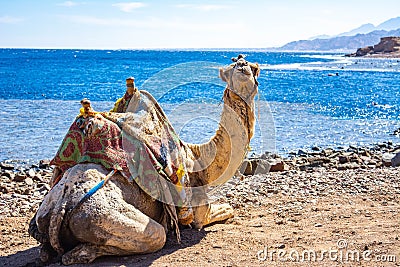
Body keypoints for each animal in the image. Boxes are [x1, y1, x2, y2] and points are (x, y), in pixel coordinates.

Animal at [28, 56, 260, 266]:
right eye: (249, 69)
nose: (246, 64)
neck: (197, 159)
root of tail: (60, 207)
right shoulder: (198, 211)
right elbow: (224, 210)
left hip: (45, 213)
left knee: (45, 250)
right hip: (102, 218)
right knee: (155, 235)